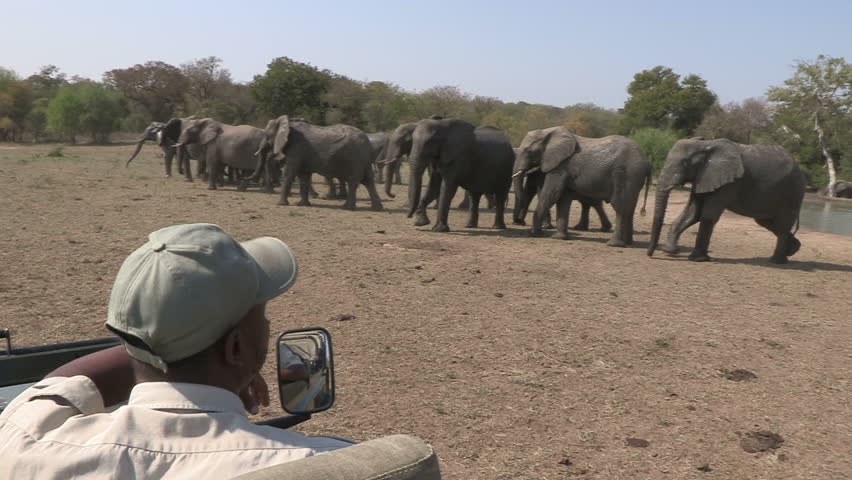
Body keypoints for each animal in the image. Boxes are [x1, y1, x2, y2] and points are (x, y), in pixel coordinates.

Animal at [255, 115, 383, 211]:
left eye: (266, 135)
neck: (288, 124)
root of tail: (367, 141)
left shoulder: (297, 148)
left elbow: (289, 173)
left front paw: (281, 204)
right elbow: (304, 176)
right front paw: (302, 204)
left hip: (355, 157)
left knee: (353, 180)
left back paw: (346, 207)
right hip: (363, 158)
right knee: (368, 181)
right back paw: (377, 208)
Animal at [514, 127, 651, 247]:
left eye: (528, 151)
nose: (520, 222)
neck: (548, 132)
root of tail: (647, 162)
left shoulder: (560, 167)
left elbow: (551, 194)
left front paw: (534, 234)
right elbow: (563, 199)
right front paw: (559, 238)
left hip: (627, 174)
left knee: (620, 207)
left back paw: (614, 244)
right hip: (633, 179)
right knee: (629, 208)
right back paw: (628, 243)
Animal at [647, 138, 805, 264]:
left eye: (685, 163)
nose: (650, 255)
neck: (705, 145)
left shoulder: (729, 183)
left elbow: (707, 215)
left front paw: (697, 259)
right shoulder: (703, 178)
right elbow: (692, 213)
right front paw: (669, 251)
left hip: (792, 193)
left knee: (782, 226)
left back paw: (777, 261)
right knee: (768, 223)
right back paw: (793, 249)